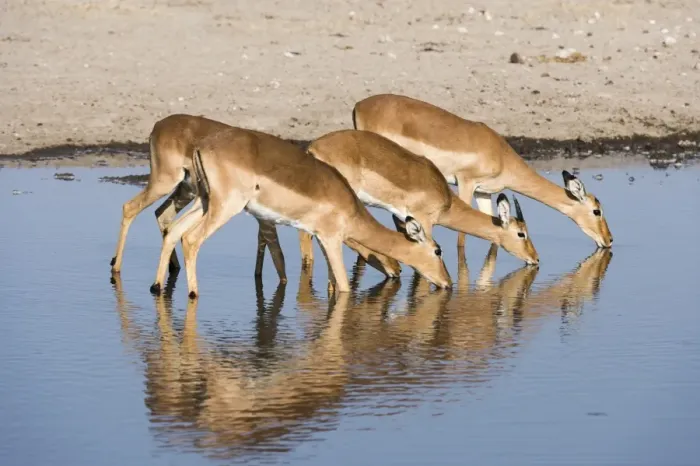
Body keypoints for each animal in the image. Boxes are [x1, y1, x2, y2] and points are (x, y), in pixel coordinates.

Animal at [150, 126, 452, 298]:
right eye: (437, 251)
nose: (448, 283)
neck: (348, 206)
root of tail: (201, 146)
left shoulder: (321, 239)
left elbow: (332, 285)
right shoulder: (331, 239)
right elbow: (343, 286)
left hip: (204, 201)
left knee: (172, 230)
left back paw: (157, 287)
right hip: (225, 207)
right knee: (191, 239)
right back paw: (193, 293)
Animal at [352, 94, 614, 251]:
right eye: (596, 210)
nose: (609, 240)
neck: (501, 155)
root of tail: (359, 105)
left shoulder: (484, 192)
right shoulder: (466, 183)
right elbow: (462, 238)